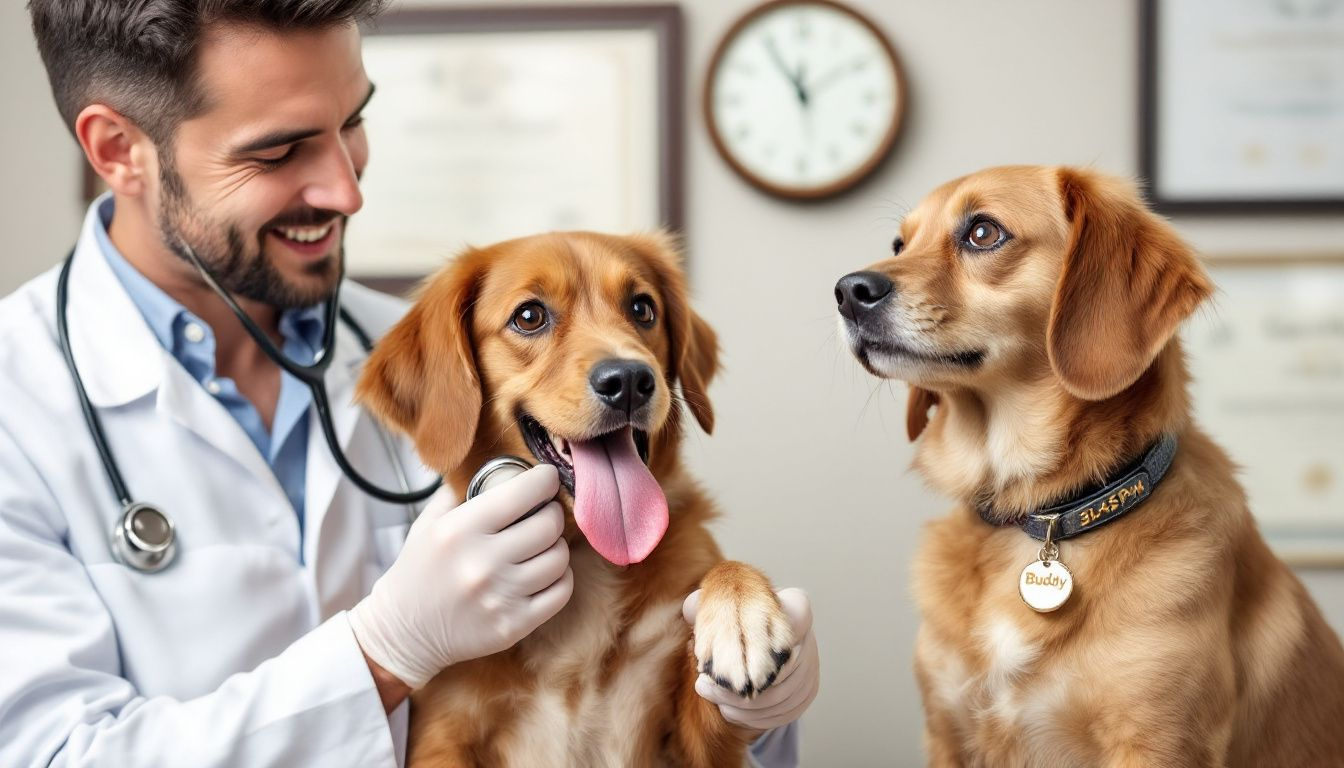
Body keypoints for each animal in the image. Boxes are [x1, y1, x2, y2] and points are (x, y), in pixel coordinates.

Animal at [360, 232, 795, 768]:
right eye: (529, 316)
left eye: (642, 308)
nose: (628, 380)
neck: (586, 550)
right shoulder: (441, 737)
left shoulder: (697, 742)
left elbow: (725, 569)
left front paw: (741, 616)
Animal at [827, 165, 1344, 763]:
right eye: (899, 244)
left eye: (982, 232)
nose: (847, 291)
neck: (1041, 512)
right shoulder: (946, 732)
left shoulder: (1160, 743)